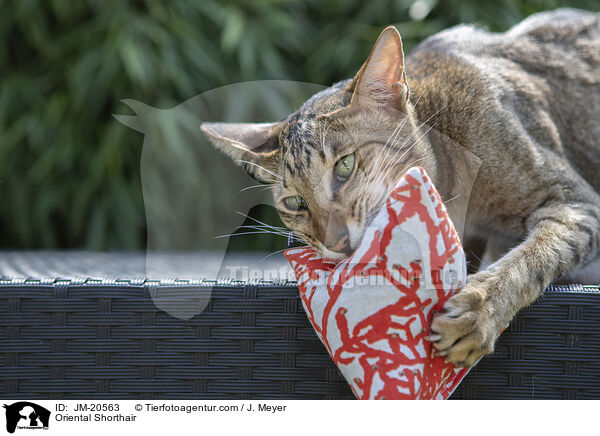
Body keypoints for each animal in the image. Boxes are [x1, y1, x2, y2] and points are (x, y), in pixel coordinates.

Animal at [203, 8, 600, 366]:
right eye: (295, 202)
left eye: (345, 165)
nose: (335, 242)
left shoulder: (578, 203)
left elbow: (532, 257)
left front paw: (478, 312)